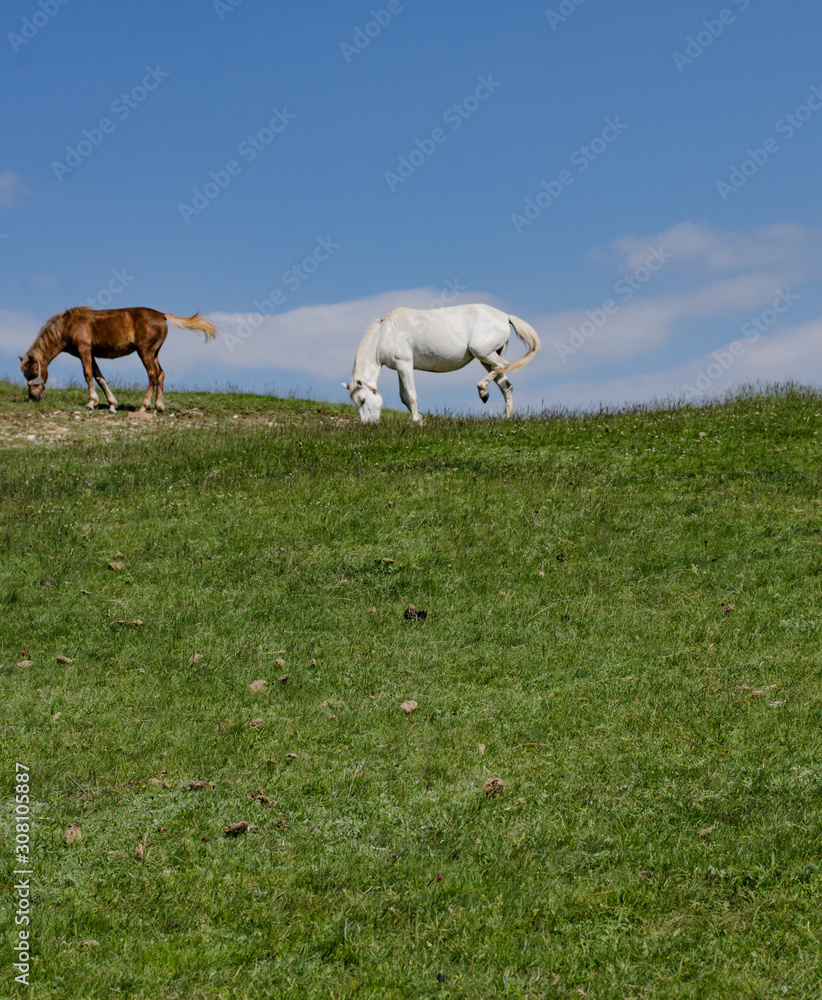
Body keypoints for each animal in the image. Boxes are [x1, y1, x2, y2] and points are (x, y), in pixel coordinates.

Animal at [20, 306, 216, 413]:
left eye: (31, 373)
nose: (33, 397)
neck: (67, 327)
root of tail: (162, 315)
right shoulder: (92, 354)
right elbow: (100, 378)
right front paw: (112, 404)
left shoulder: (85, 351)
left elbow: (88, 374)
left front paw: (91, 402)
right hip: (154, 353)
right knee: (161, 374)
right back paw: (158, 406)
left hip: (145, 352)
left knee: (153, 375)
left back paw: (144, 406)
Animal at [343, 303, 541, 424]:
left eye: (362, 400)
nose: (368, 425)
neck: (386, 334)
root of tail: (505, 316)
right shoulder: (400, 368)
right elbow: (404, 397)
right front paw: (420, 418)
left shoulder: (405, 365)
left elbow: (411, 395)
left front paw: (417, 421)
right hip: (486, 359)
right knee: (506, 385)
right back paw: (507, 418)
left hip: (483, 353)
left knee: (504, 365)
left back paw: (483, 391)